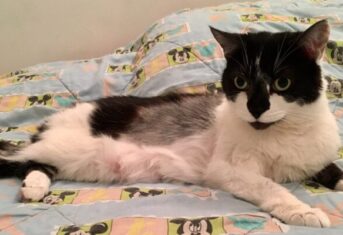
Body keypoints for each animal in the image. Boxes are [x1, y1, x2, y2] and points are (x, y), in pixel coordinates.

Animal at [0, 19, 343, 228]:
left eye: (283, 82)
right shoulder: (227, 169)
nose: (256, 108)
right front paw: (303, 210)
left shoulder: (317, 154)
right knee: (18, 158)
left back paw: (34, 185)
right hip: (66, 146)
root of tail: (51, 122)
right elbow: (270, 185)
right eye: (240, 82)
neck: (286, 133)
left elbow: (332, 169)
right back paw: (33, 184)